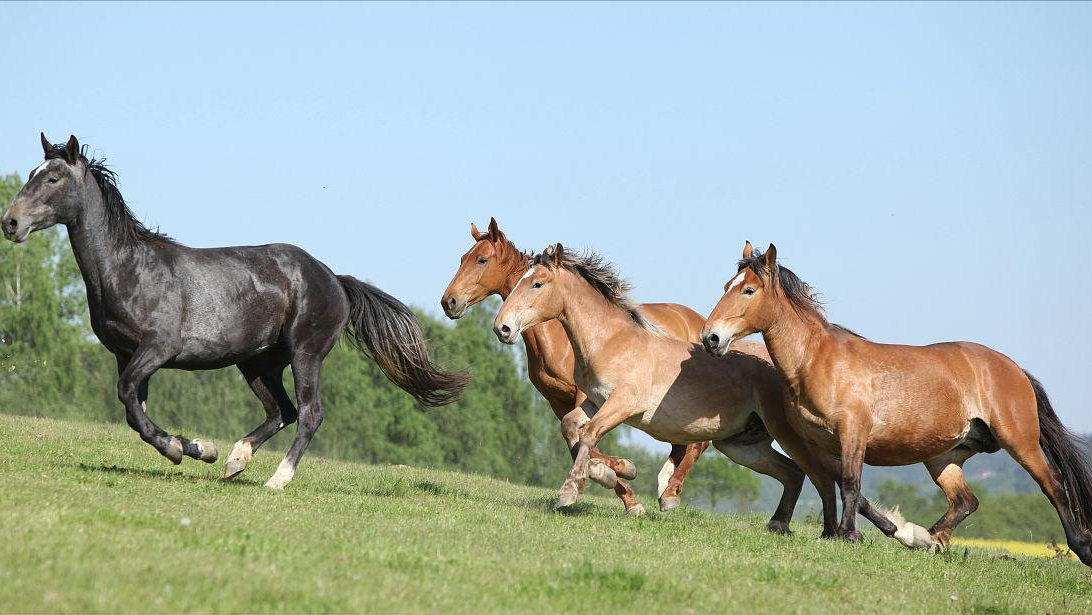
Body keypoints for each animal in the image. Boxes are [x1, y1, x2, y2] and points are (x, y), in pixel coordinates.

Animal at [0, 135, 469, 491]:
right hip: (258, 363)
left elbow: (128, 397)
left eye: (53, 178)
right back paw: (235, 460)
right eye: (32, 174)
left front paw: (179, 449)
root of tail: (333, 278)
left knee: (309, 413)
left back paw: (278, 479)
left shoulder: (158, 348)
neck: (127, 268)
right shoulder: (124, 354)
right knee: (282, 411)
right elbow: (133, 410)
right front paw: (198, 448)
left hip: (304, 354)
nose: (10, 223)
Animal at [443, 218, 760, 513]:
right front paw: (617, 479)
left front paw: (622, 480)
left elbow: (586, 440)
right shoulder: (558, 401)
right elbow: (573, 436)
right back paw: (664, 485)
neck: (558, 336)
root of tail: (702, 325)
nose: (449, 302)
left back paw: (669, 492)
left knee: (697, 442)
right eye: (462, 258)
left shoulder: (585, 395)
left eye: (482, 259)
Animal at [493, 243, 851, 537]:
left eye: (537, 284)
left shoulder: (623, 403)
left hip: (783, 432)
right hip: (742, 445)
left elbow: (590, 434)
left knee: (816, 474)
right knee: (792, 473)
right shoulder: (595, 401)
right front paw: (611, 473)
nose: (502, 328)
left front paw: (570, 491)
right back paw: (779, 524)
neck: (612, 342)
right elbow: (572, 428)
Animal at [698, 241, 1092, 568]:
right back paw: (928, 540)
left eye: (748, 289)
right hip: (943, 456)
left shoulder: (853, 432)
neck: (817, 360)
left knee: (1054, 485)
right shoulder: (822, 443)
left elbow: (850, 483)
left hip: (1019, 441)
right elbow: (843, 487)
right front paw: (886, 531)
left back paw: (1082, 547)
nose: (710, 338)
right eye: (727, 285)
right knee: (965, 500)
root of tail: (1012, 368)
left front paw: (850, 535)